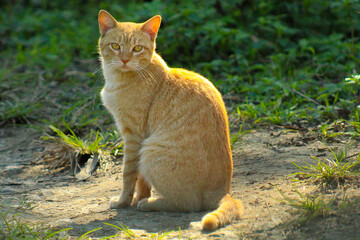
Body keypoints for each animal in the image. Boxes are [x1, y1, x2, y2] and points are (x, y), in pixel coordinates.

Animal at [98, 9, 243, 231]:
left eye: (137, 48)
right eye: (115, 46)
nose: (124, 60)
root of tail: (224, 191)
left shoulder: (134, 137)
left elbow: (128, 175)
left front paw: (124, 202)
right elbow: (142, 181)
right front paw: (139, 197)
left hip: (150, 151)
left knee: (189, 204)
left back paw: (150, 204)